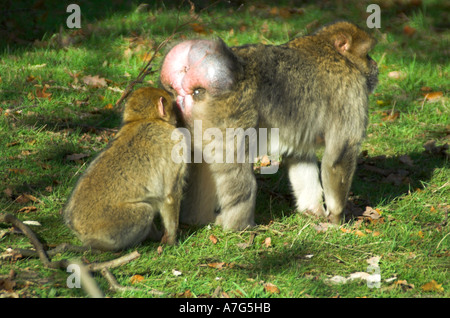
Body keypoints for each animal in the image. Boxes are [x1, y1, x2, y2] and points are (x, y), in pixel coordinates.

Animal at [62, 87, 185, 251]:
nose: (177, 118)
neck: (144, 119)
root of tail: (77, 227)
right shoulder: (177, 142)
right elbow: (170, 195)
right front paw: (172, 241)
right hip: (112, 226)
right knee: (145, 210)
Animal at [160, 20, 378, 229]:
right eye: (367, 54)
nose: (375, 64)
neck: (331, 49)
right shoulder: (351, 91)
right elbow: (341, 154)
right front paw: (337, 219)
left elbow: (299, 155)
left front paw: (313, 211)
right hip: (228, 117)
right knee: (237, 169)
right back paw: (239, 227)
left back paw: (196, 219)